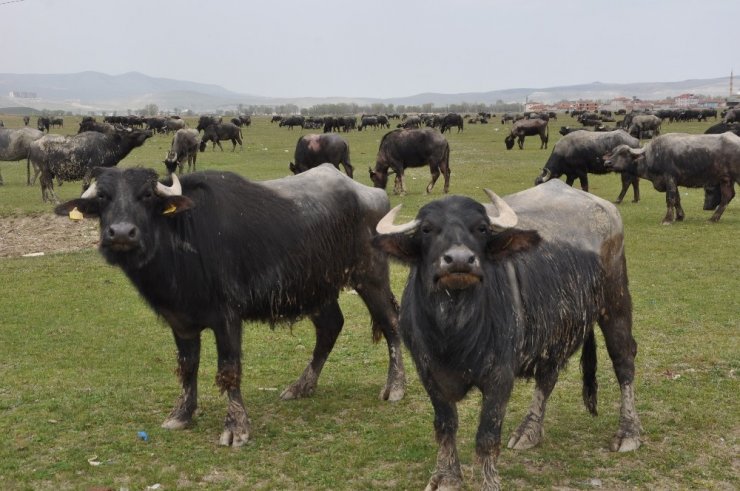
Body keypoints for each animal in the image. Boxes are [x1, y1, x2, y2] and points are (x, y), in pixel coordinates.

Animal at [54, 164, 408, 446]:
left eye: (147, 196)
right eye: (103, 198)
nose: (121, 233)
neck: (182, 239)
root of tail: (373, 194)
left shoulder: (227, 317)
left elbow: (229, 370)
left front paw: (236, 428)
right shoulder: (180, 321)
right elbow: (188, 367)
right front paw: (181, 414)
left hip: (371, 275)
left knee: (391, 323)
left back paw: (396, 387)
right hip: (317, 289)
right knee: (330, 327)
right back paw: (301, 386)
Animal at [376, 181, 640, 491]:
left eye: (481, 228)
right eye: (427, 229)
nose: (460, 260)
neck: (453, 332)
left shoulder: (500, 376)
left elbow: (487, 436)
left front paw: (488, 482)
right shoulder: (427, 372)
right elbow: (445, 425)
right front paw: (446, 477)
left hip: (616, 301)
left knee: (624, 361)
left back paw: (628, 433)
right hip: (553, 331)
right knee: (547, 376)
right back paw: (528, 431)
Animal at [608, 131, 740, 223]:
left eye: (622, 153)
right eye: (613, 152)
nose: (607, 162)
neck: (653, 156)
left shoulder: (669, 178)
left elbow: (670, 198)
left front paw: (667, 219)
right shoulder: (673, 181)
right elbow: (677, 199)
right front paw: (680, 216)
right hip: (726, 179)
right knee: (727, 196)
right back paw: (713, 218)